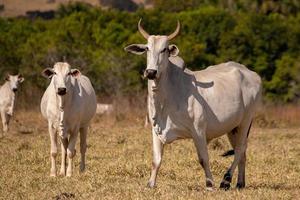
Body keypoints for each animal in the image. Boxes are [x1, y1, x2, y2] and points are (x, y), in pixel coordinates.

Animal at [125, 19, 262, 191]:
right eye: (147, 49)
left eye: (164, 50)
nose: (151, 72)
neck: (165, 99)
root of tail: (252, 74)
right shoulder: (156, 130)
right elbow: (156, 160)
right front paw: (150, 184)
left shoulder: (198, 131)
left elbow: (203, 159)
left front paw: (209, 184)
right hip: (233, 127)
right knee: (242, 152)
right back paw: (240, 183)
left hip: (246, 121)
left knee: (240, 149)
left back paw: (226, 180)